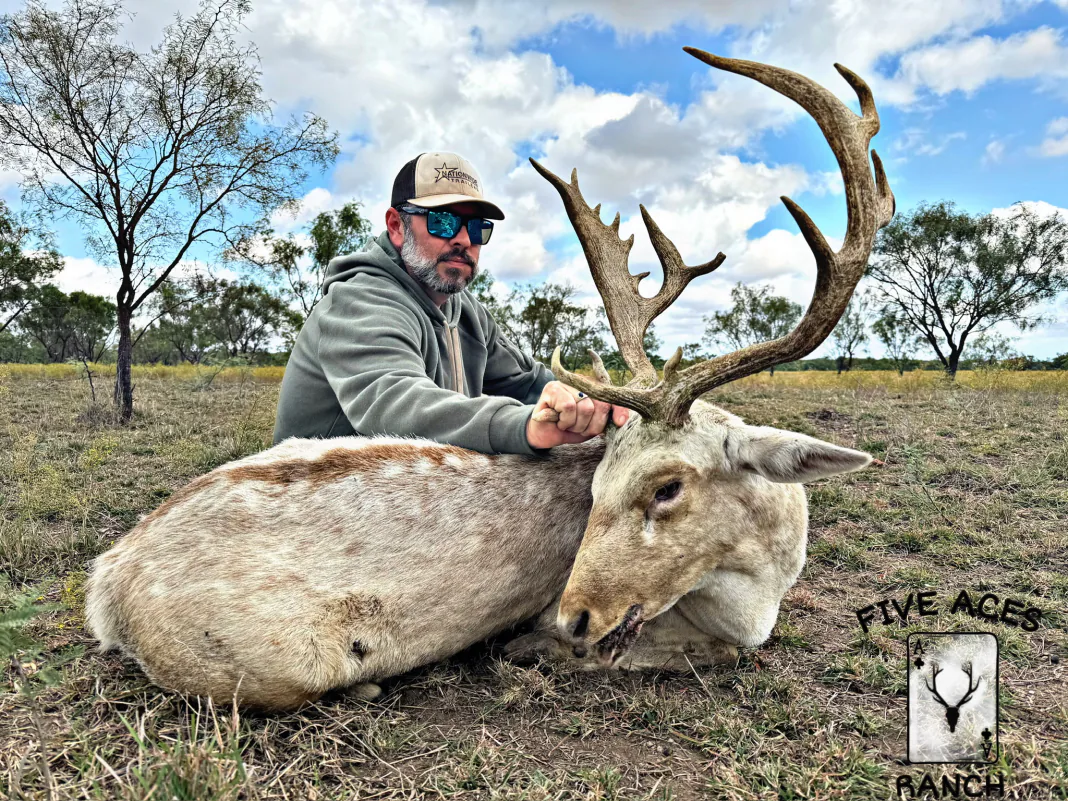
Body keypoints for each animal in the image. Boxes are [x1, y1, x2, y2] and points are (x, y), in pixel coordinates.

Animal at [84, 48, 895, 711]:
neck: (759, 588)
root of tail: (104, 585)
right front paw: (530, 651)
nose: (574, 614)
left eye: (667, 486)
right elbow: (707, 655)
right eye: (598, 486)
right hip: (274, 666)